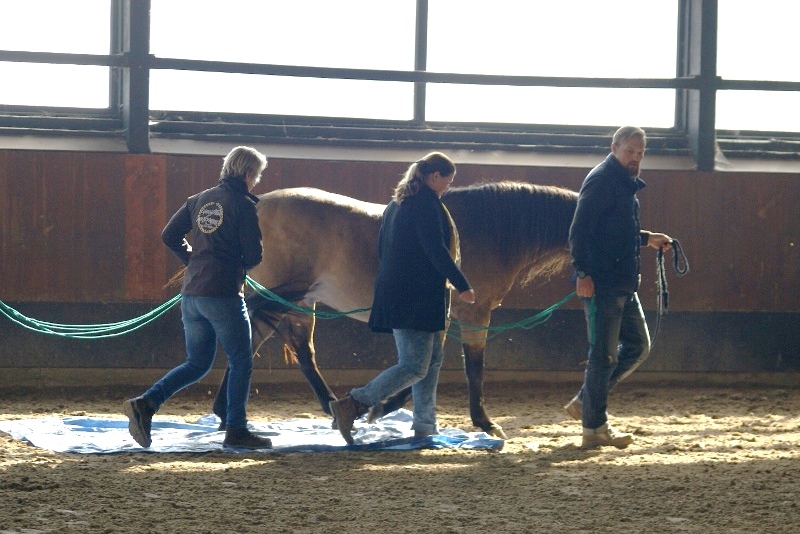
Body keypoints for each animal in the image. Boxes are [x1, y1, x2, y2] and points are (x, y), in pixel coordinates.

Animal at [212, 182, 576, 442]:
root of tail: (258, 206)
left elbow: (424, 369)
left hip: (296, 302)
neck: (488, 230)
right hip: (281, 297)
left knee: (287, 349)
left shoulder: (443, 317)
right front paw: (485, 423)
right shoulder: (473, 313)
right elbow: (470, 369)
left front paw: (381, 408)